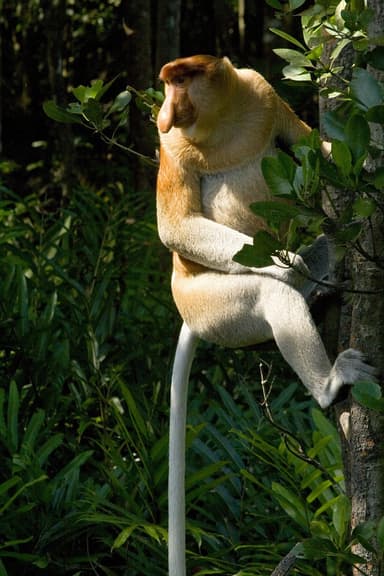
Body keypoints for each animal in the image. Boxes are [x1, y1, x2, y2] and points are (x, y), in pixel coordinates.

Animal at [155, 54, 372, 576]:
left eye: (182, 80)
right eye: (167, 86)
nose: (170, 110)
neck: (221, 119)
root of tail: (187, 313)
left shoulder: (262, 93)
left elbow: (315, 147)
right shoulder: (168, 142)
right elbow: (176, 225)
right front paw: (288, 263)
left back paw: (325, 269)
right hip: (212, 307)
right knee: (269, 294)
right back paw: (328, 379)